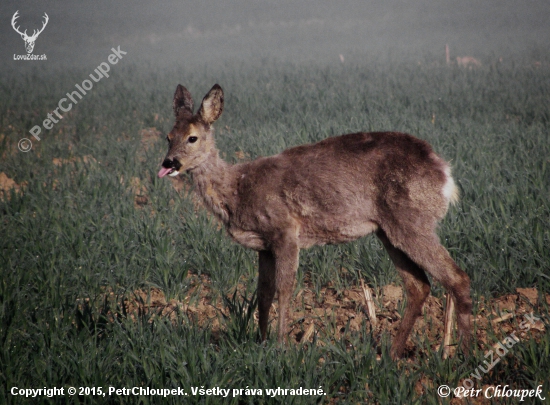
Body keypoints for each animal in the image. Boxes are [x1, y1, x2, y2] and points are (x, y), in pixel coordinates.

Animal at [157, 83, 472, 358]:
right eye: (168, 136)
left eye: (193, 137)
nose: (169, 163)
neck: (236, 189)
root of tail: (444, 173)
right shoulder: (263, 246)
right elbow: (263, 293)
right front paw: (261, 343)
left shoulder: (285, 231)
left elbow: (285, 289)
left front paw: (281, 347)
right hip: (388, 230)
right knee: (419, 285)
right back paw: (392, 355)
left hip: (412, 221)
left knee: (456, 277)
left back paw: (464, 357)